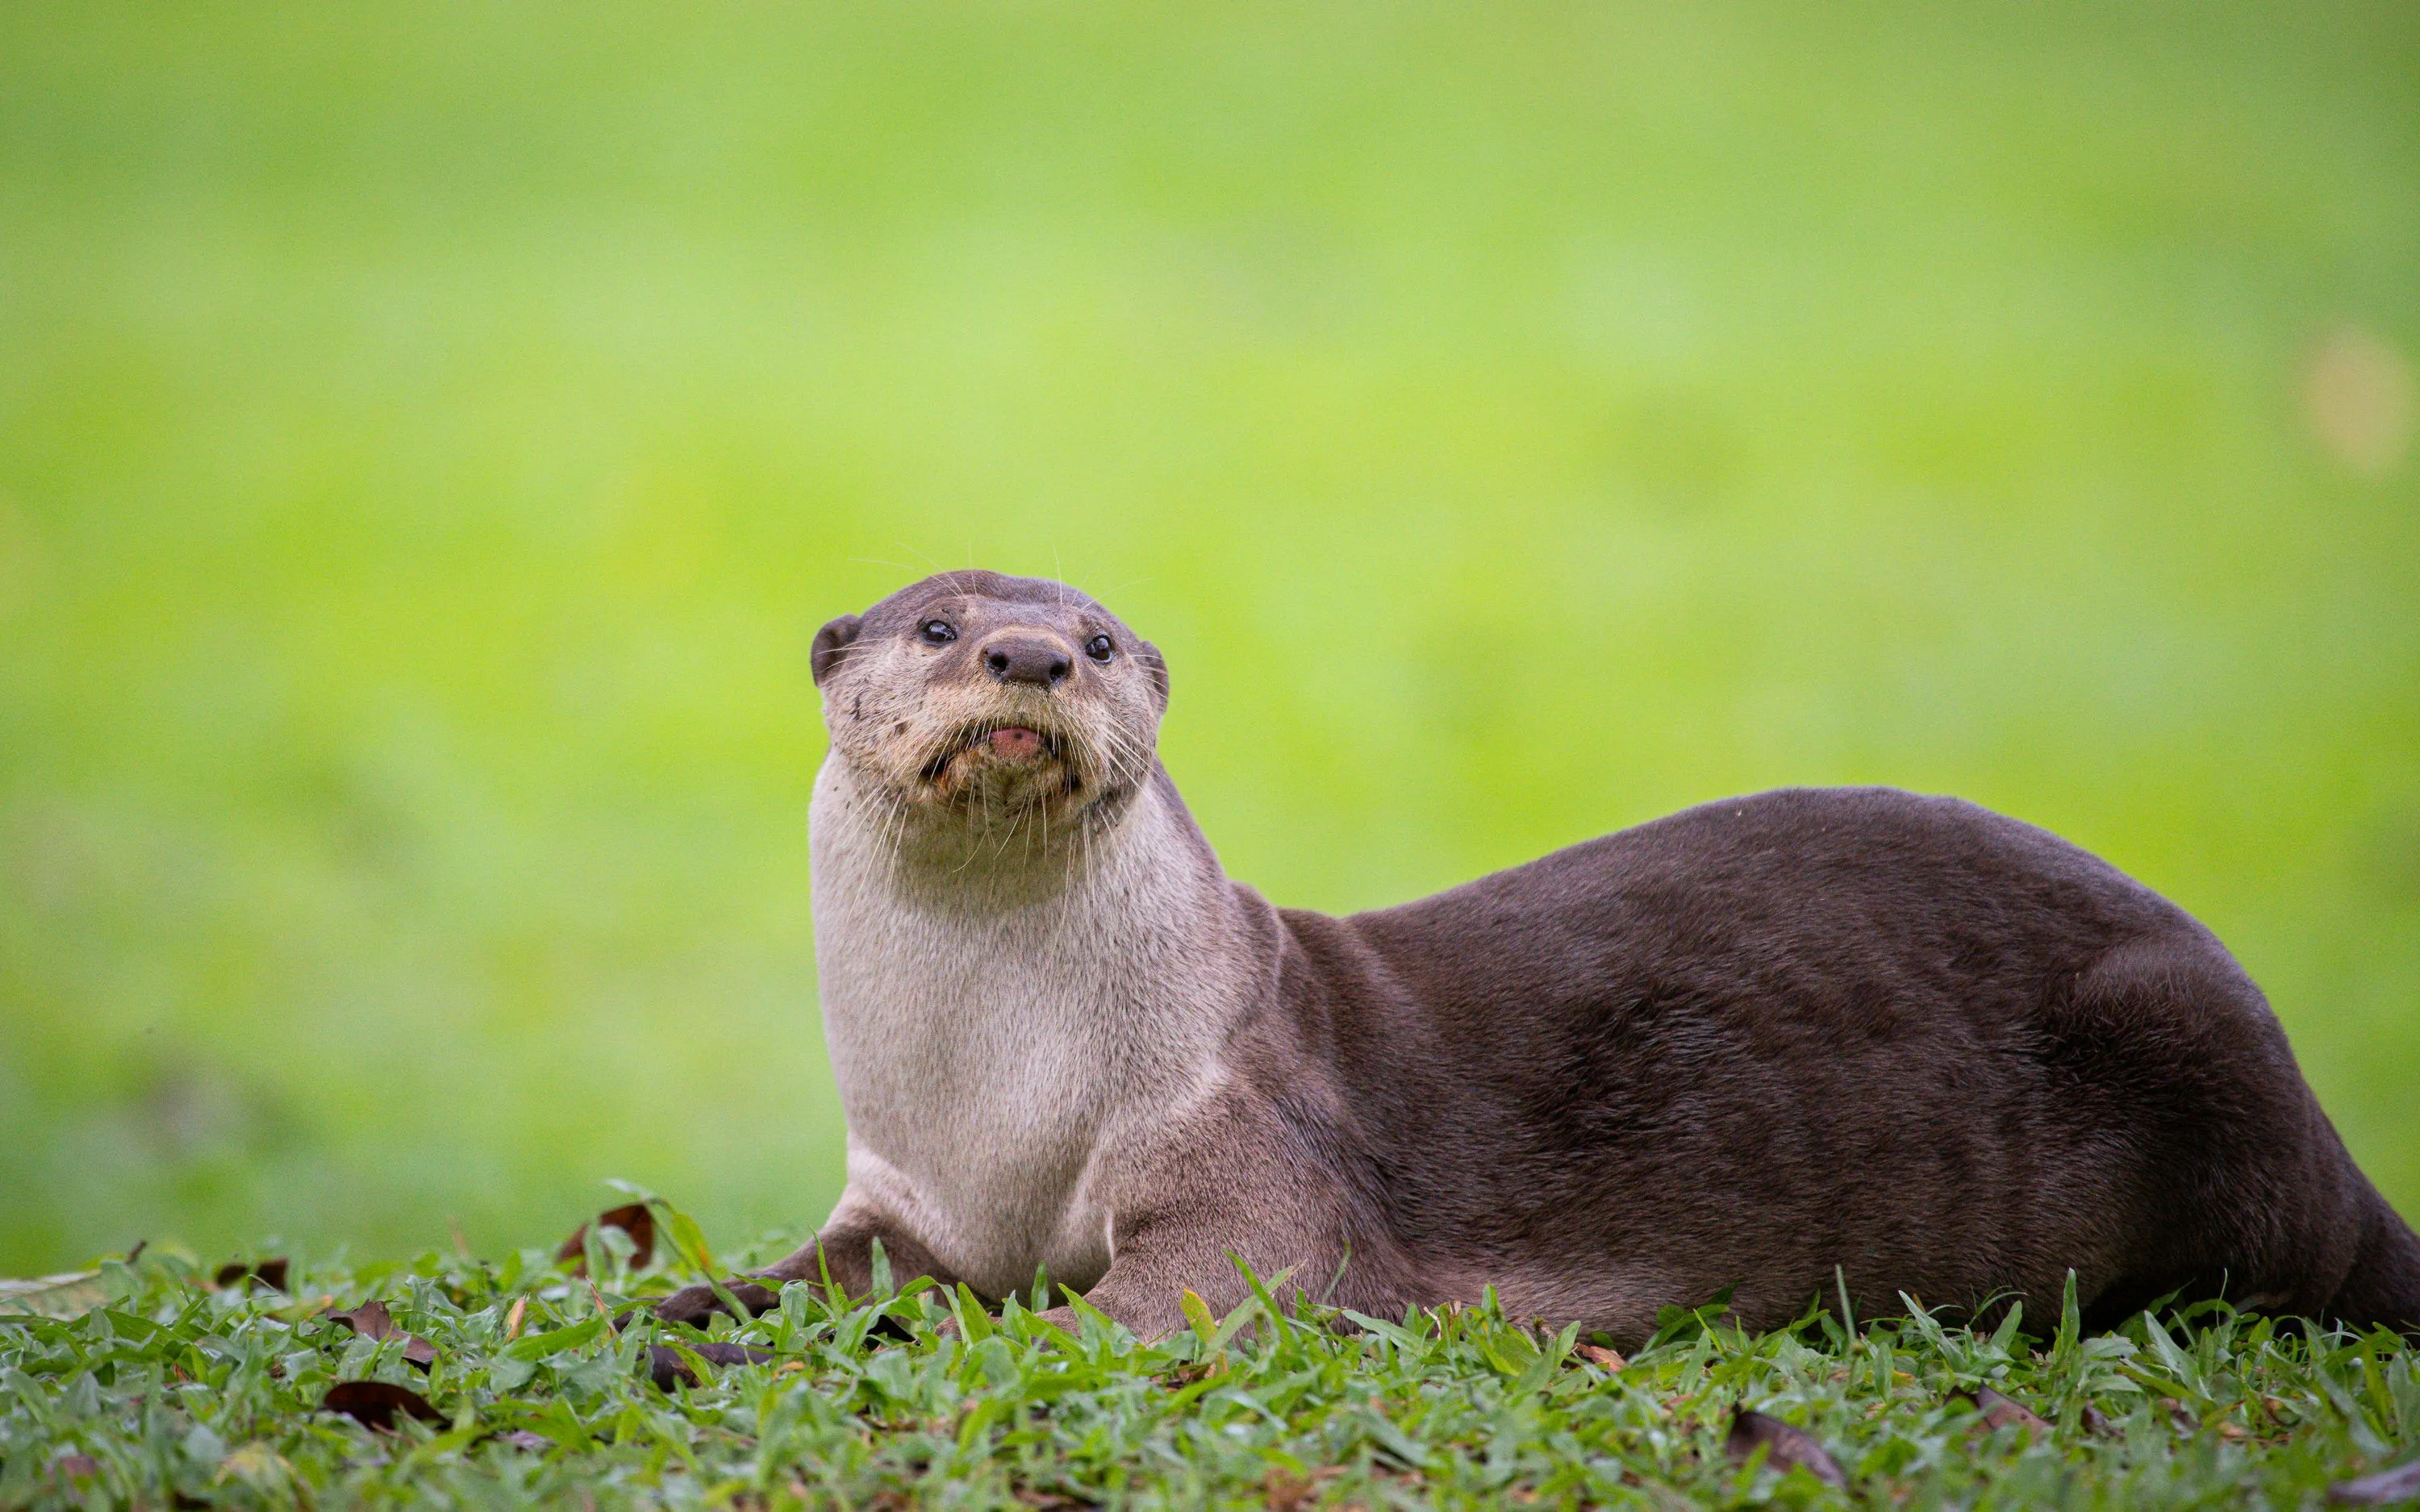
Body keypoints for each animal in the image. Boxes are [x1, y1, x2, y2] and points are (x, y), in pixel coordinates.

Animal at [657, 570, 2420, 1343]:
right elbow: (823, 1275)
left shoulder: (1246, 1168)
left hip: (2199, 1062)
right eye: (938, 628)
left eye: (1091, 642)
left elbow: (1115, 1310)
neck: (1005, 1102)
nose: (1027, 657)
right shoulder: (906, 1195)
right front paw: (677, 1308)